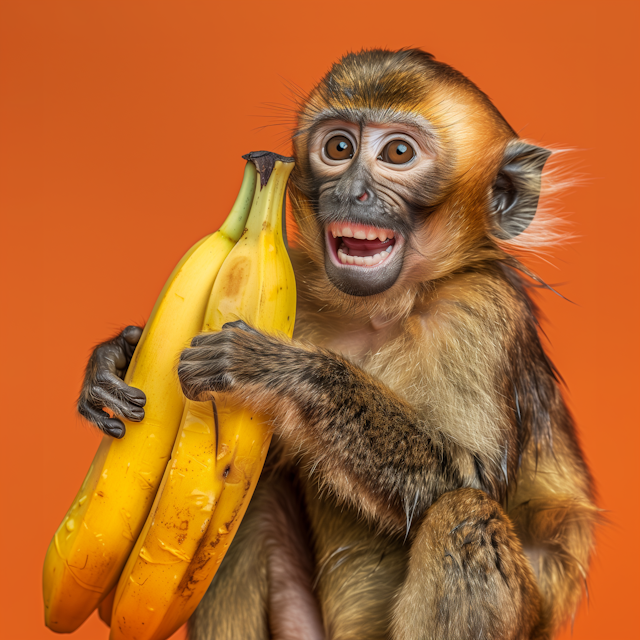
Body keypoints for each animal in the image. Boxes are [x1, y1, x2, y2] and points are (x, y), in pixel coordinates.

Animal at [77, 47, 596, 636]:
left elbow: (470, 475)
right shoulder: (303, 285)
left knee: (465, 515)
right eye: (339, 148)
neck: (380, 313)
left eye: (398, 153)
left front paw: (280, 370)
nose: (350, 191)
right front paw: (115, 358)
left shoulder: (481, 312)